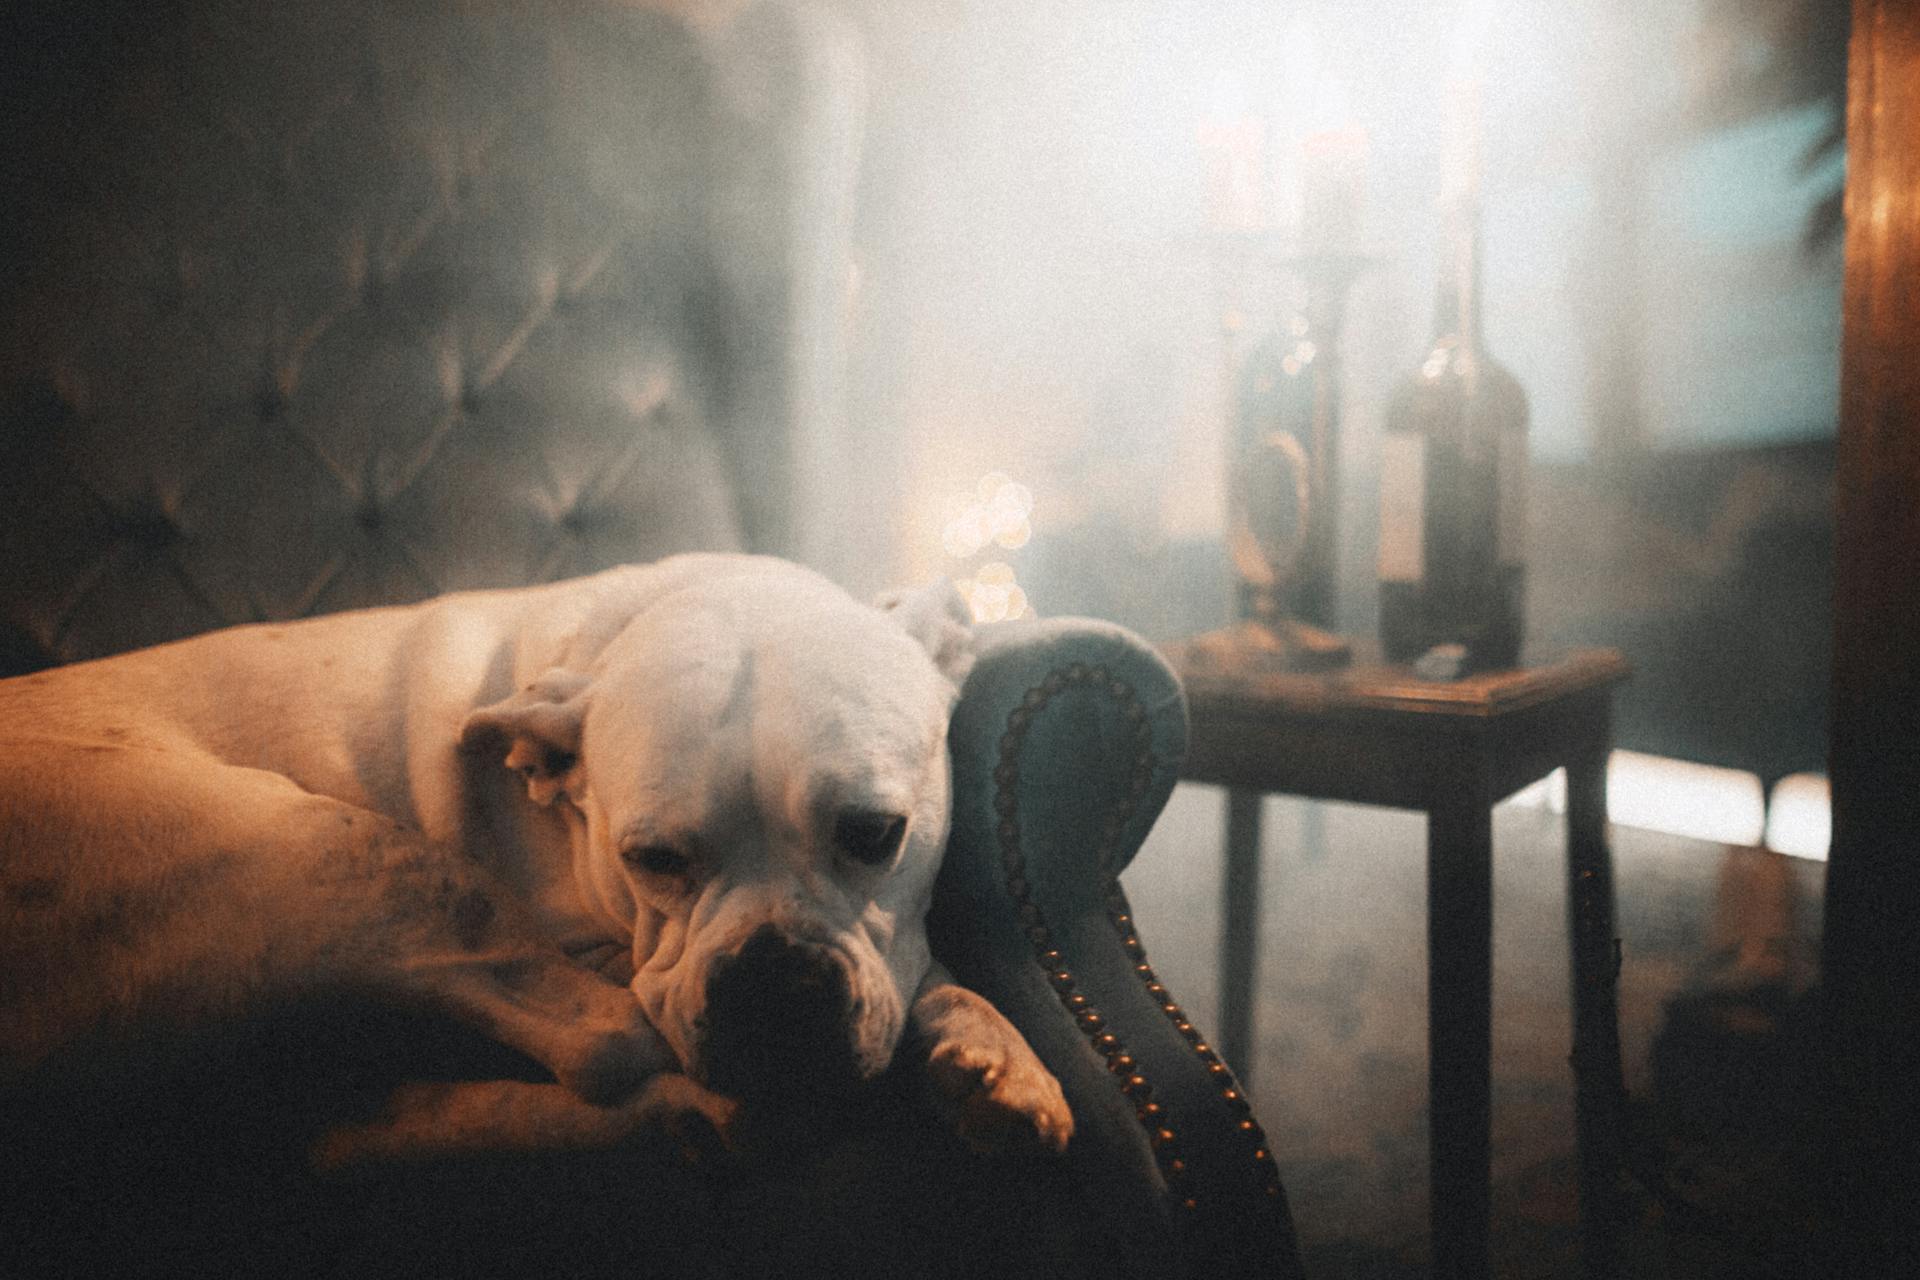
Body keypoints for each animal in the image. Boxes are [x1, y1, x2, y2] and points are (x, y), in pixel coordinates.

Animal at [0, 556, 1075, 1166]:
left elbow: (923, 966)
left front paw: (993, 1052)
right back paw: (702, 1116)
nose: (772, 981)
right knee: (607, 1047)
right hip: (337, 850)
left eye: (874, 834)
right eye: (652, 857)